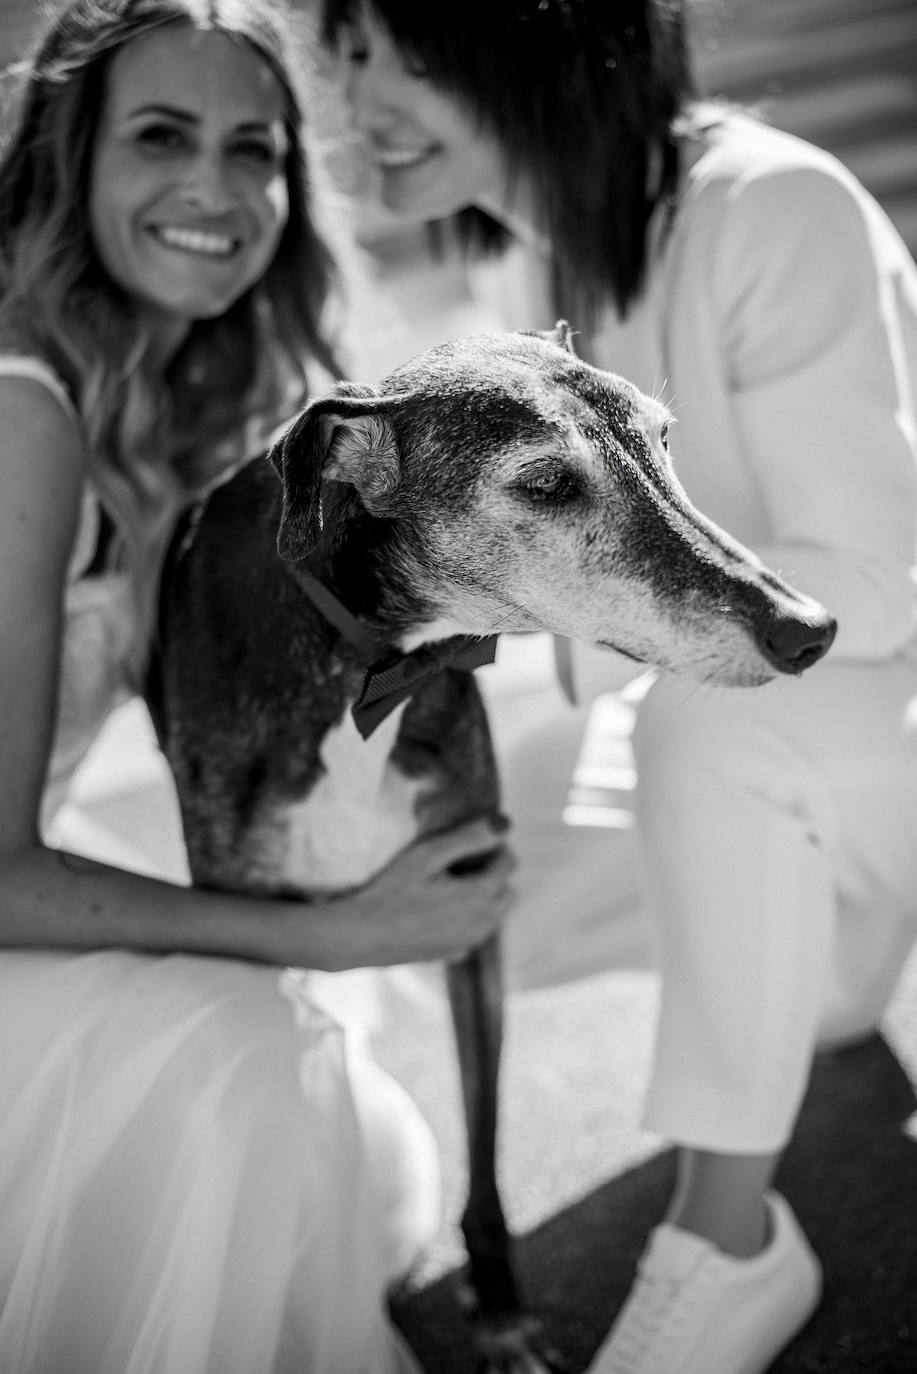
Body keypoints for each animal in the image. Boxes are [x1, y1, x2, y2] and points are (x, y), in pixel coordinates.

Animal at [150, 324, 841, 1374]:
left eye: (664, 440)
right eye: (547, 483)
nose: (808, 631)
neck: (366, 669)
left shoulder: (472, 916)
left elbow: (482, 1149)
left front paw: (502, 1319)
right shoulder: (262, 928)